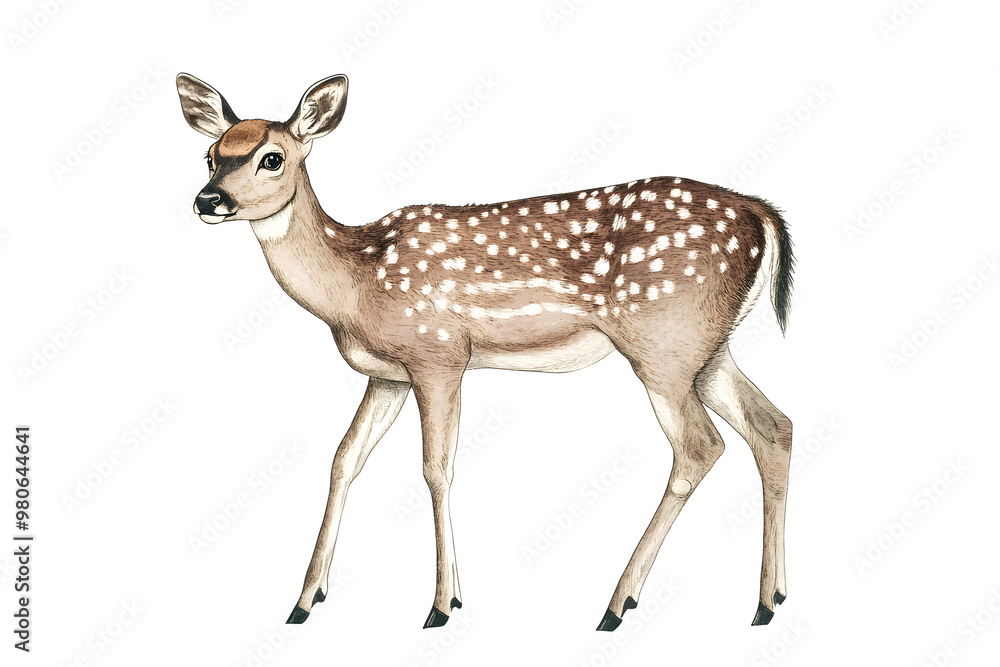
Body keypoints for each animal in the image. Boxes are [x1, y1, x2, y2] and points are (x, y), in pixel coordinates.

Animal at [176, 73, 795, 631]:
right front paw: (306, 600)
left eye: (272, 158)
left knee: (700, 447)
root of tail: (763, 215)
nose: (209, 199)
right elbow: (344, 459)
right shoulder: (388, 375)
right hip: (706, 349)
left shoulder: (438, 354)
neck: (355, 285)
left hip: (662, 344)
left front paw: (442, 604)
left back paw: (618, 604)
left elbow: (436, 469)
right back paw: (768, 602)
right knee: (774, 427)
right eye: (210, 156)